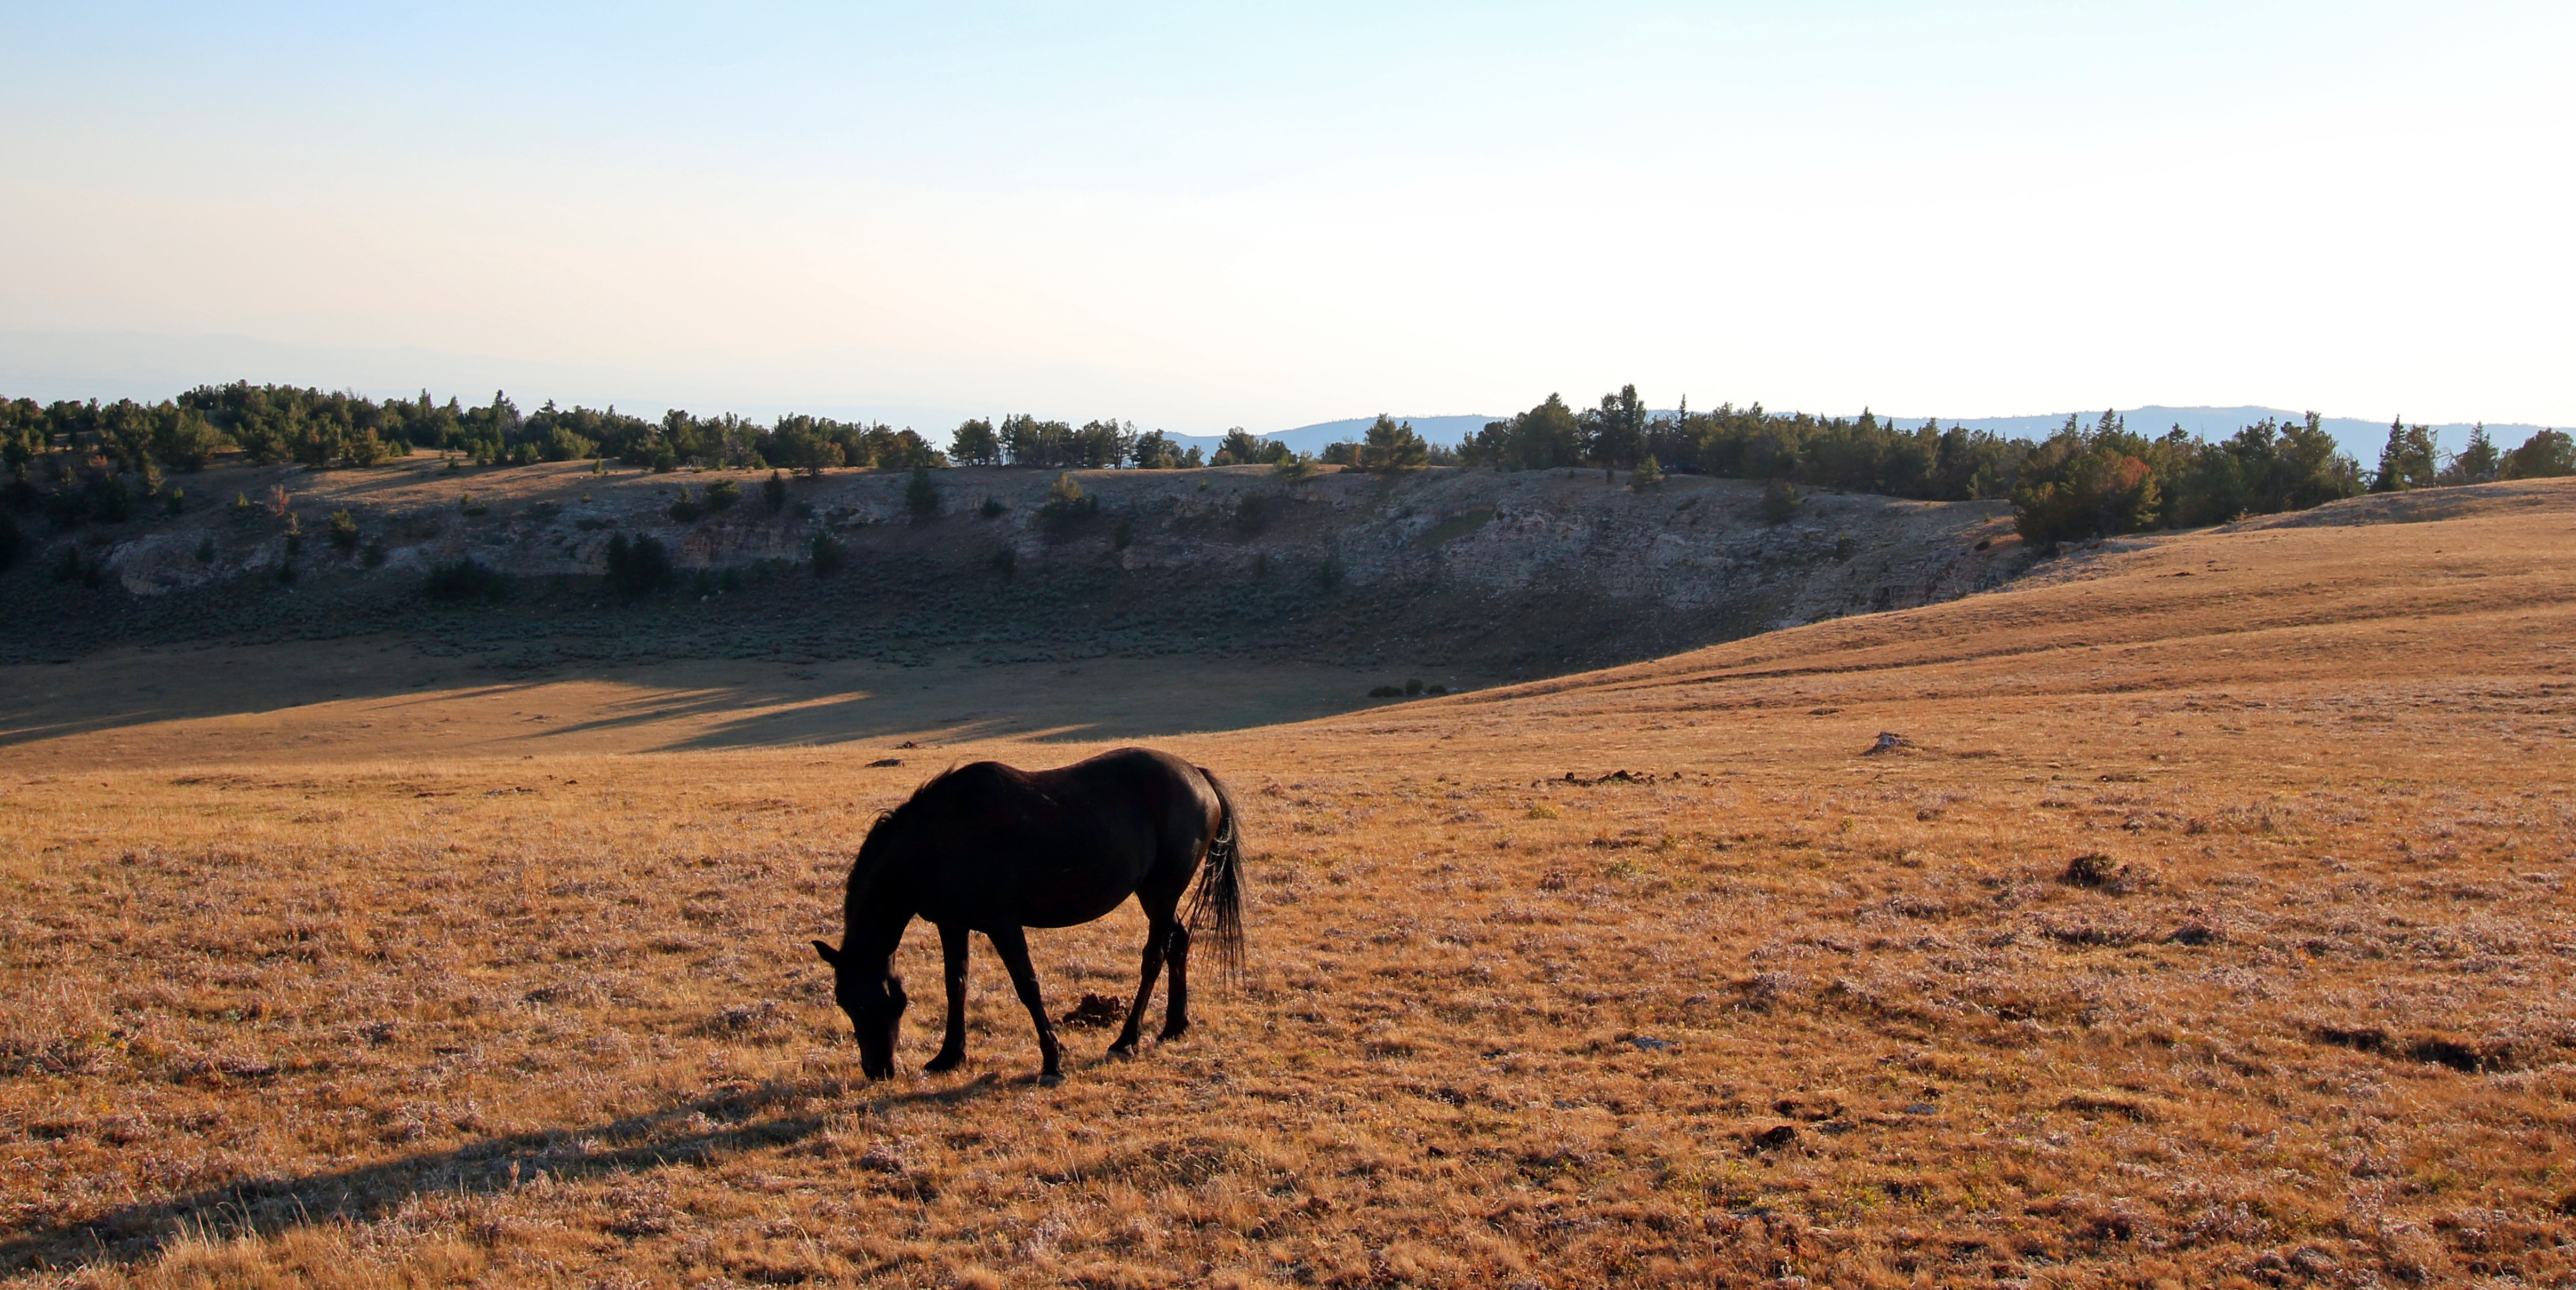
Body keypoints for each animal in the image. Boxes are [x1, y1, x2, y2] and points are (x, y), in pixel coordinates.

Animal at [809, 746, 1242, 1086]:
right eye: (844, 1001)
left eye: (868, 1000)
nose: (876, 1069)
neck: (939, 837)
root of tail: (1197, 776)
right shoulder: (952, 923)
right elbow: (956, 984)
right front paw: (949, 1056)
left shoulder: (1003, 923)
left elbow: (1027, 986)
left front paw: (1052, 1060)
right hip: (1155, 896)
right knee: (1178, 942)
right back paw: (1174, 1026)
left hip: (1161, 891)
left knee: (1154, 956)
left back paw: (1126, 1040)